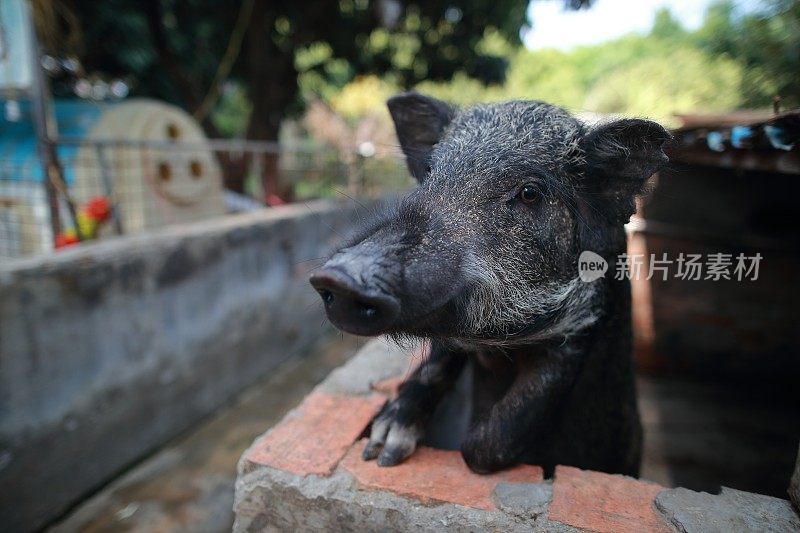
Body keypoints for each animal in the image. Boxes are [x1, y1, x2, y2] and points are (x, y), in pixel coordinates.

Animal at [310, 93, 672, 476]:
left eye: (530, 193)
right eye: (430, 173)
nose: (340, 276)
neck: (502, 345)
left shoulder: (581, 327)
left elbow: (480, 447)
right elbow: (436, 364)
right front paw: (380, 451)